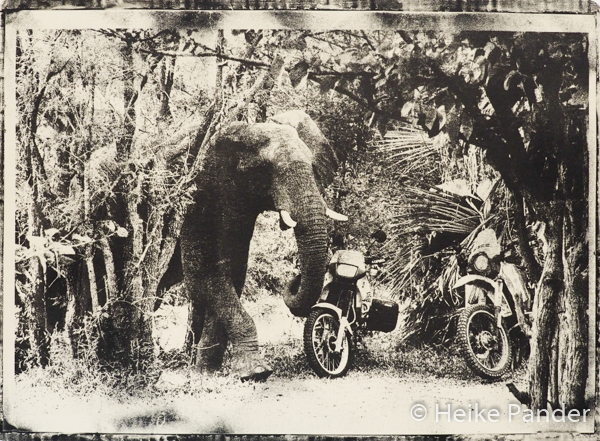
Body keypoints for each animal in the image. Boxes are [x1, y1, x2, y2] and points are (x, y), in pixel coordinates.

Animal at [171, 109, 344, 378]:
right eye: (264, 170)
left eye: (313, 166)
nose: (295, 277)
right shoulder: (196, 196)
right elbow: (206, 273)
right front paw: (256, 371)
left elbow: (233, 273)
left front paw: (205, 371)